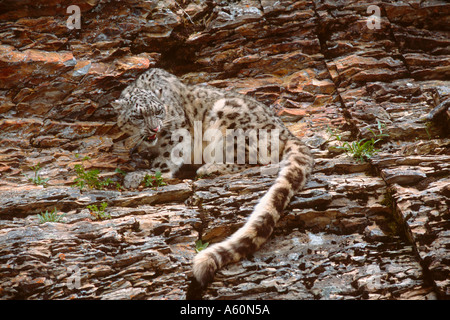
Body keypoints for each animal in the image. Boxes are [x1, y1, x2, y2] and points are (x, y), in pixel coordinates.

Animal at [112, 69, 312, 298]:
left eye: (159, 111)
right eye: (137, 116)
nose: (154, 128)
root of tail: (287, 131)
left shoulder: (176, 132)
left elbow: (167, 157)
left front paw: (144, 174)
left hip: (231, 125)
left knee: (251, 160)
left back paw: (210, 168)